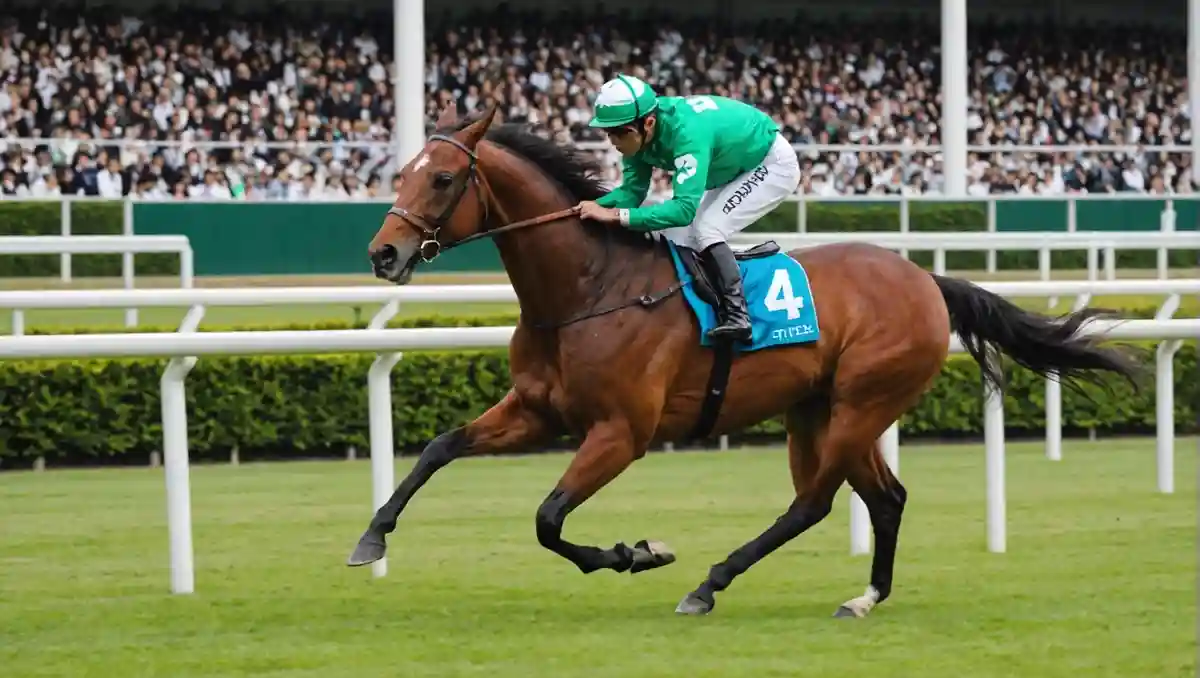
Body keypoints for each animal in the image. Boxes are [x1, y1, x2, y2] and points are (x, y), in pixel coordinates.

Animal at [347, 103, 1142, 618]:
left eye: (442, 179)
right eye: (401, 171)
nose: (382, 253)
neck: (588, 287)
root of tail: (924, 278)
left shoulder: (622, 433)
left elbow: (547, 517)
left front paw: (640, 552)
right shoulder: (536, 410)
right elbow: (440, 447)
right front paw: (370, 536)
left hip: (863, 402)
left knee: (814, 503)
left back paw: (710, 582)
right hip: (818, 407)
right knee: (882, 498)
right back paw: (866, 596)